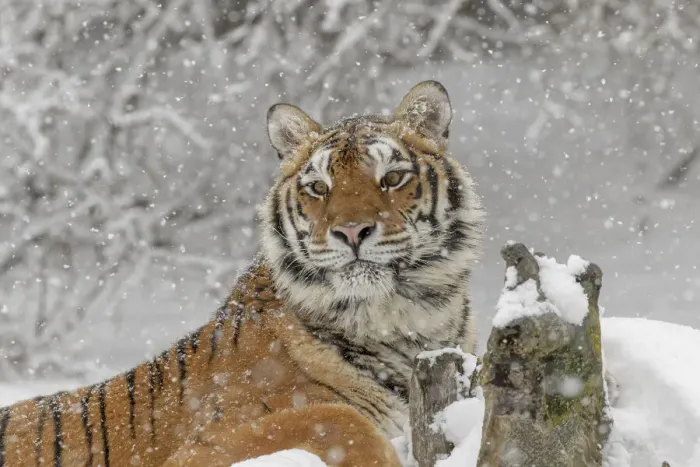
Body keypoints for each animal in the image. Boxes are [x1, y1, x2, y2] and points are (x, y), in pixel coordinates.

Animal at [0, 80, 484, 467]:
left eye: (393, 178)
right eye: (318, 187)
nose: (351, 231)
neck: (404, 322)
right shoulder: (201, 446)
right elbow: (333, 417)